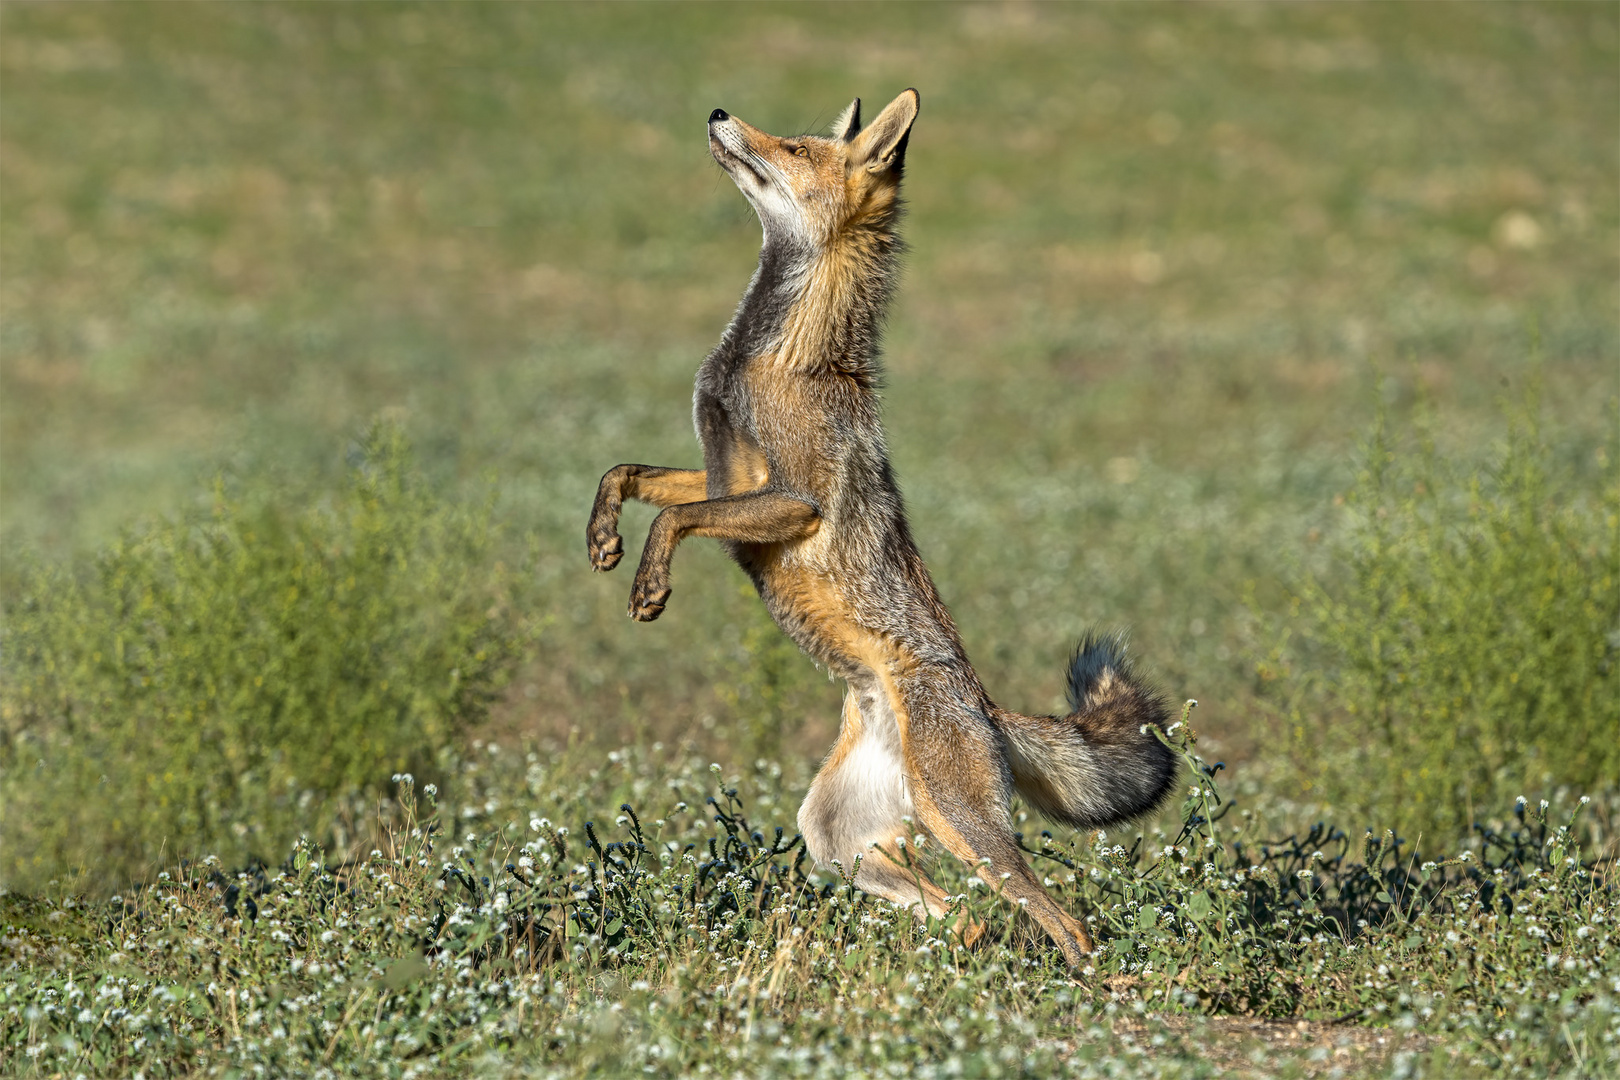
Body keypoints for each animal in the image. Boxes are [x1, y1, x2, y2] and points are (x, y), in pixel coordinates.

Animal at [586, 90, 1179, 971]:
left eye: (794, 147)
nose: (720, 112)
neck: (772, 354)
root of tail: (984, 704)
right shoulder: (728, 475)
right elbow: (628, 476)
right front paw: (603, 538)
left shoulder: (793, 500)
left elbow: (672, 515)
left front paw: (649, 585)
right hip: (838, 839)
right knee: (964, 918)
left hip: (960, 825)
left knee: (1063, 920)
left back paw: (1095, 988)